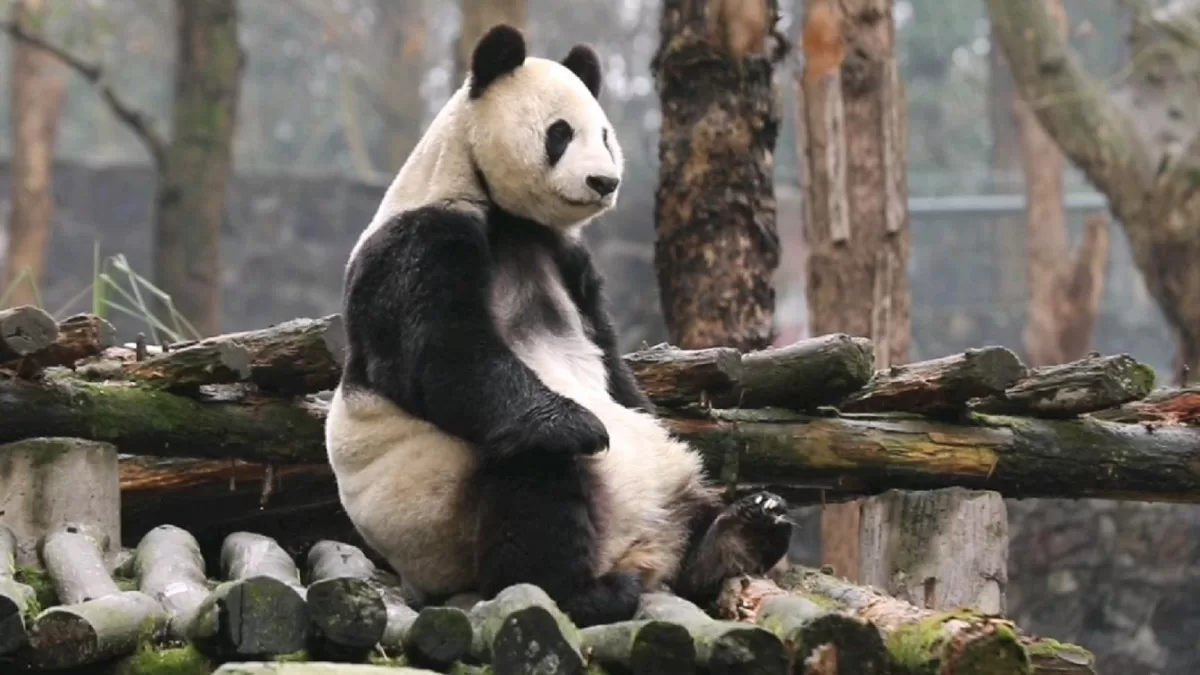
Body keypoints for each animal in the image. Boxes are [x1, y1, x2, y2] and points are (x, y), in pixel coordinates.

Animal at [325, 23, 793, 628]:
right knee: (536, 484)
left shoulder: (568, 260)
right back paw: (586, 590)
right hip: (443, 515)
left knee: (692, 517)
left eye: (606, 136)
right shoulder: (420, 239)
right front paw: (580, 425)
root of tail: (641, 549)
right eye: (560, 134)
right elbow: (445, 354)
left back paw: (743, 527)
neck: (511, 220)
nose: (603, 181)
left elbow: (614, 366)